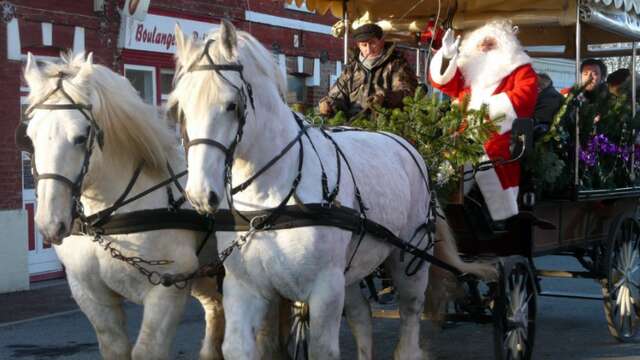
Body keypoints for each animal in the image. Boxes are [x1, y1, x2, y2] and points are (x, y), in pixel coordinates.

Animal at [21, 52, 226, 358]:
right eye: (30, 137)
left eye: (81, 137)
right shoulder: (91, 295)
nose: (50, 223)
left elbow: (146, 351)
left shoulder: (168, 289)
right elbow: (115, 347)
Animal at [169, 21, 496, 358]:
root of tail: (409, 147)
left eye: (231, 105)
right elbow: (237, 346)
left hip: (409, 260)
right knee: (362, 317)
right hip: (351, 271)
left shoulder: (325, 290)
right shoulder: (244, 288)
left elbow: (322, 349)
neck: (268, 201)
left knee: (409, 317)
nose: (200, 194)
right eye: (181, 108)